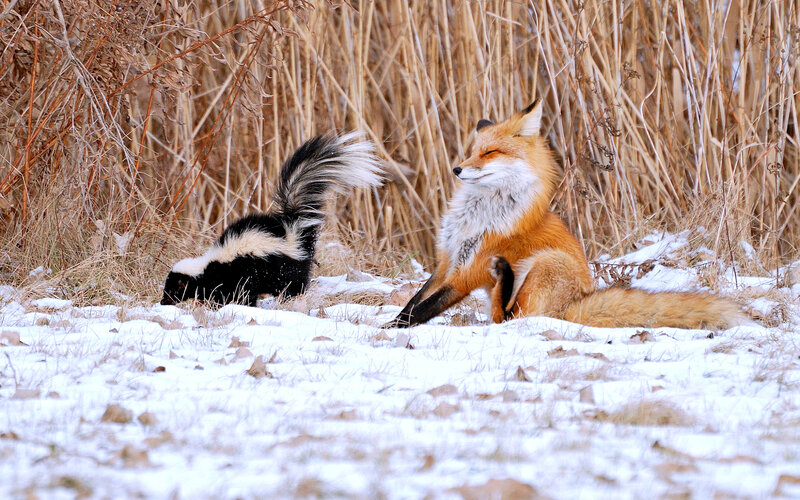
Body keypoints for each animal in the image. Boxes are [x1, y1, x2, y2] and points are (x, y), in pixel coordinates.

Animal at [383, 99, 742, 330]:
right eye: (472, 152)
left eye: (490, 152)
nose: (457, 169)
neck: (477, 215)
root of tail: (574, 306)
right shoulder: (448, 260)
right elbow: (414, 302)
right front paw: (390, 323)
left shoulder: (467, 272)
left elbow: (422, 310)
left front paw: (389, 330)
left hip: (547, 264)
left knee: (509, 319)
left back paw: (505, 276)